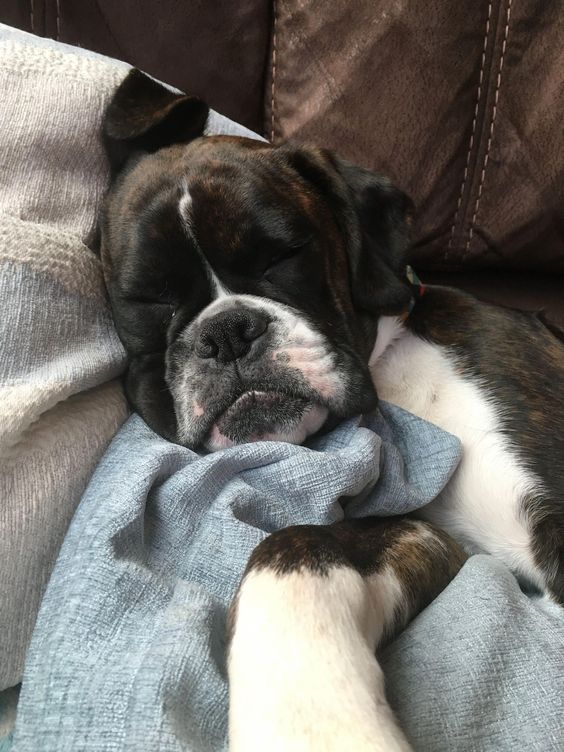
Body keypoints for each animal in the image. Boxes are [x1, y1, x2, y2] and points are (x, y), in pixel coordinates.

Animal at [100, 69, 564, 748]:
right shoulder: (430, 536)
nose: (228, 332)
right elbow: (291, 548)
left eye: (283, 256)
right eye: (147, 298)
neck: (387, 362)